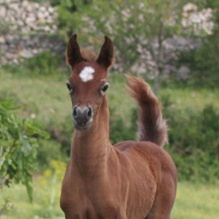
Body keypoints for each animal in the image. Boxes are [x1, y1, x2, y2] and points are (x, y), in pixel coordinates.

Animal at [60, 35, 177, 218]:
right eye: (69, 85)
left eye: (104, 86)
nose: (82, 115)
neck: (90, 174)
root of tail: (151, 143)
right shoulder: (71, 215)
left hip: (160, 214)